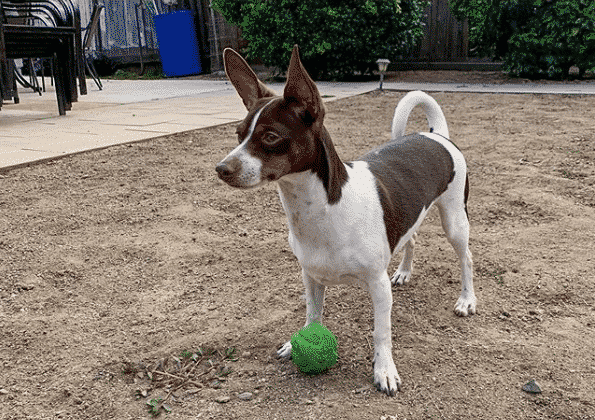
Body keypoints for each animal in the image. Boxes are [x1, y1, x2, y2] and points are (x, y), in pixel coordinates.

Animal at [214, 47, 474, 396]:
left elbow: (381, 333)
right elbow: (312, 316)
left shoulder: (377, 285)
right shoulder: (311, 277)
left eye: (270, 136)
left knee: (466, 257)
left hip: (454, 220)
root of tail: (436, 135)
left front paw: (384, 370)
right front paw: (297, 342)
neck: (323, 211)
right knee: (412, 238)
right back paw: (404, 272)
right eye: (239, 134)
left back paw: (467, 300)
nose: (222, 169)